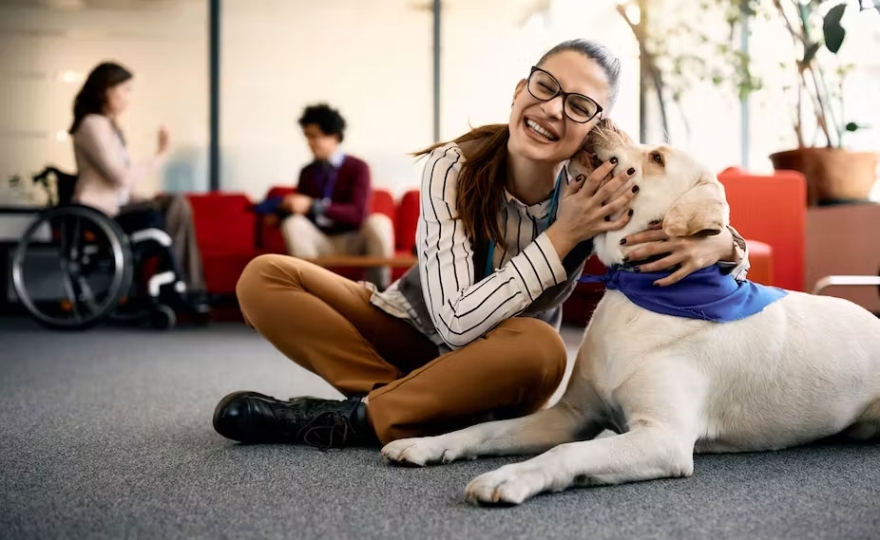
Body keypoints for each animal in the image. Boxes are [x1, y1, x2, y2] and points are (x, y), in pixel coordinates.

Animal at [382, 119, 880, 506]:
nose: (600, 118)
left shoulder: (661, 438)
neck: (637, 292)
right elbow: (485, 431)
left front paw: (509, 478)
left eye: (657, 157)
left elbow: (565, 454)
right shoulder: (573, 415)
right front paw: (428, 443)